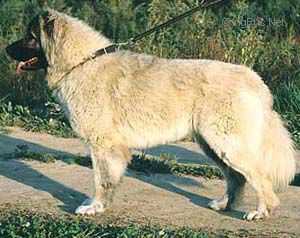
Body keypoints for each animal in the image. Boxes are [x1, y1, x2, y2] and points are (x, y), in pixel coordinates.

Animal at [5, 9, 296, 221]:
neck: (80, 63)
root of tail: (255, 80)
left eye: (30, 37)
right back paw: (225, 205)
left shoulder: (102, 145)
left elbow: (101, 179)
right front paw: (100, 205)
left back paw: (261, 211)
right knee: (236, 178)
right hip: (212, 145)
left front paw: (94, 206)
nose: (6, 49)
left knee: (258, 177)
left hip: (226, 143)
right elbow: (107, 179)